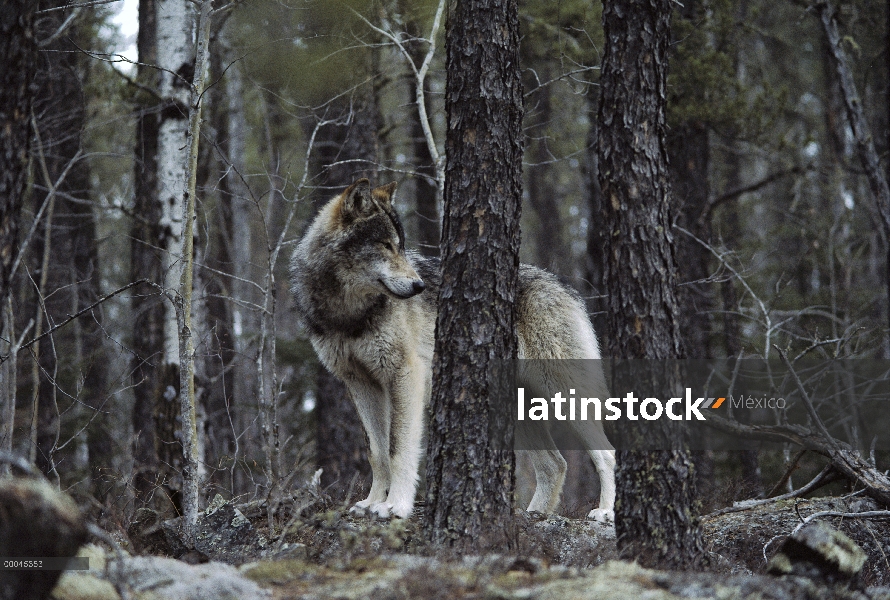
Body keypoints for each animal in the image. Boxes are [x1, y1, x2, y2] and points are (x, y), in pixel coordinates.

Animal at [288, 177, 612, 520]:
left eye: (401, 246)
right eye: (385, 245)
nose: (419, 286)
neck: (348, 314)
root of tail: (564, 286)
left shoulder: (405, 375)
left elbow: (398, 449)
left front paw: (396, 506)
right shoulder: (360, 384)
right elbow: (377, 453)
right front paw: (371, 503)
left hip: (565, 396)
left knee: (607, 455)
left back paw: (604, 512)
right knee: (555, 464)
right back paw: (531, 516)